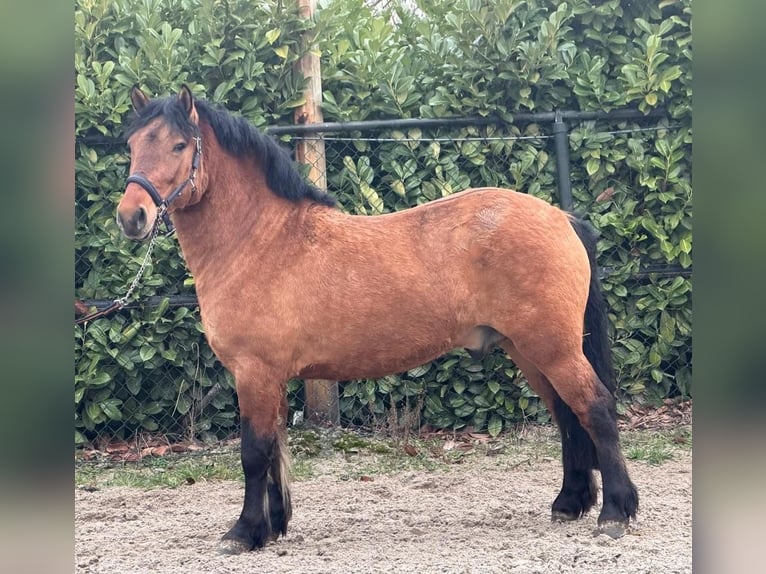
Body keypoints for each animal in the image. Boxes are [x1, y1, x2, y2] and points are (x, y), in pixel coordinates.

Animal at [116, 85, 638, 554]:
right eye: (133, 144)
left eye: (179, 145)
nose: (131, 217)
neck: (262, 241)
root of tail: (560, 217)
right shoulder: (270, 378)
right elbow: (276, 450)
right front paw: (273, 526)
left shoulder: (254, 373)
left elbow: (254, 453)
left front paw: (243, 533)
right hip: (529, 351)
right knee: (567, 416)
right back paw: (570, 503)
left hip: (553, 348)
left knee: (594, 408)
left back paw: (615, 513)